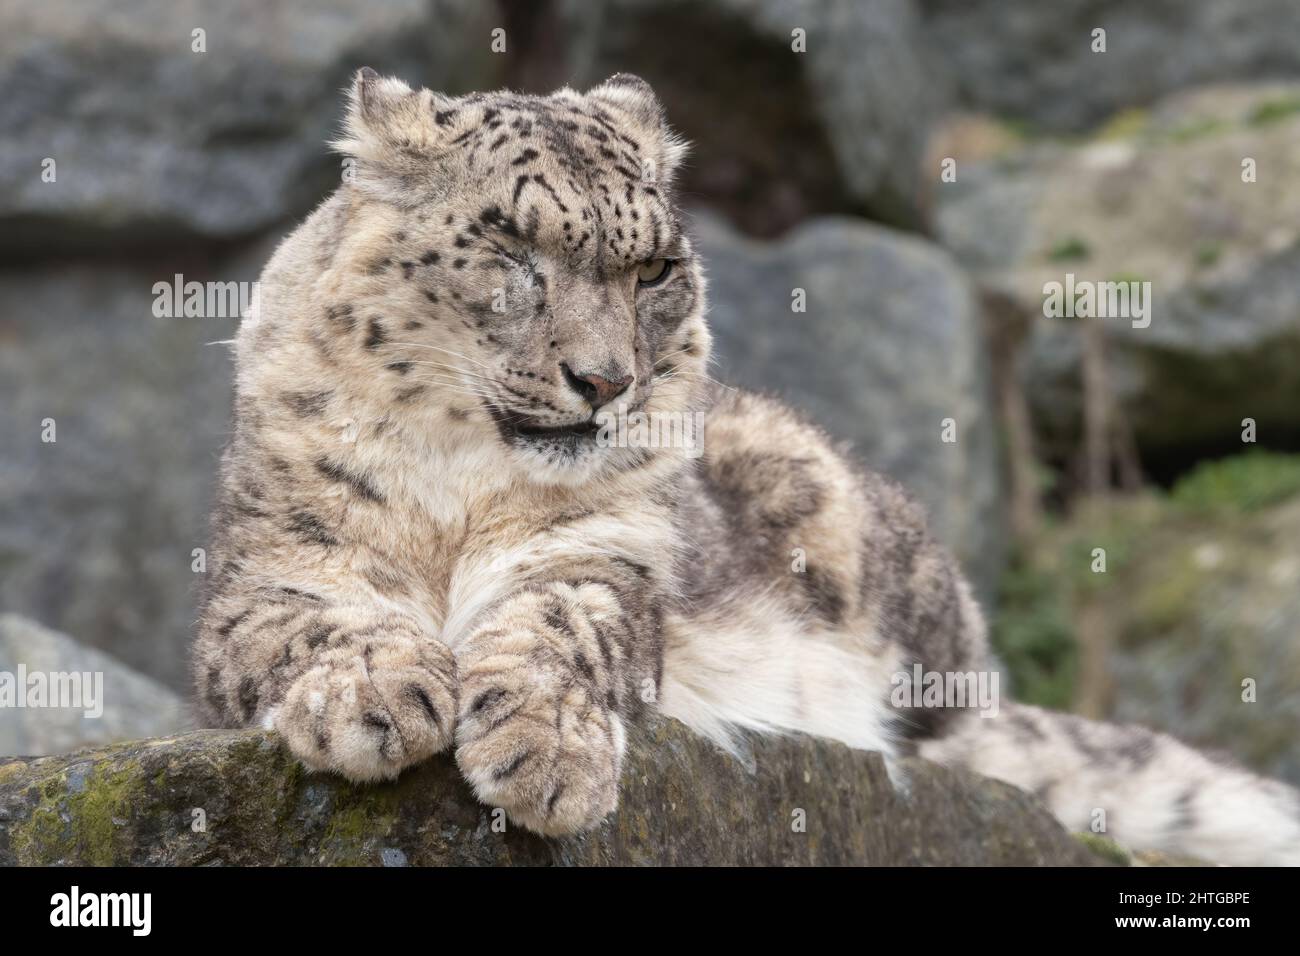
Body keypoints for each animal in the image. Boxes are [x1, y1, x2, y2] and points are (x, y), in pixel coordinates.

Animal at [195, 65, 1300, 858]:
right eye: (510, 247)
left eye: (652, 268)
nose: (604, 379)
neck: (457, 487)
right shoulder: (266, 571)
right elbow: (316, 617)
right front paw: (374, 695)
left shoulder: (602, 556)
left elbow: (560, 619)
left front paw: (547, 752)